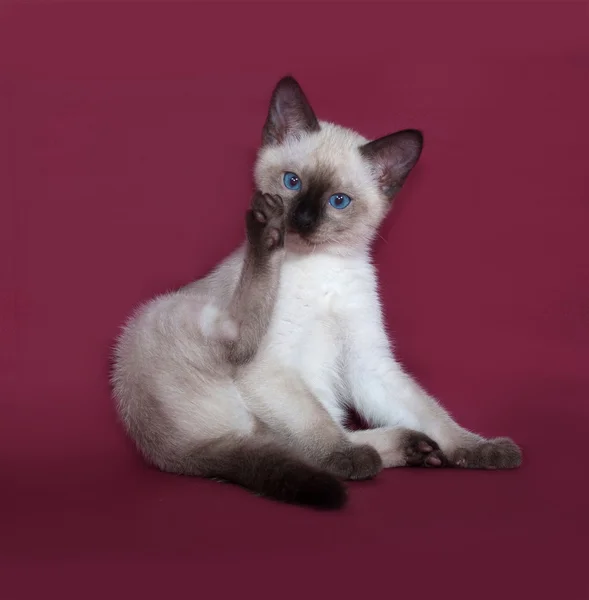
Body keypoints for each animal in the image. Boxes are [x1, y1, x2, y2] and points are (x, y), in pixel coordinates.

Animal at [110, 74, 520, 506]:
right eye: (292, 182)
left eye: (338, 201)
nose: (300, 220)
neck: (323, 269)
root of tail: (177, 455)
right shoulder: (270, 368)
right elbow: (318, 428)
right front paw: (348, 458)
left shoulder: (369, 363)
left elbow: (433, 414)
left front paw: (480, 449)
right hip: (167, 313)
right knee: (266, 390)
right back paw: (264, 234)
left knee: (292, 445)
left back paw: (416, 448)